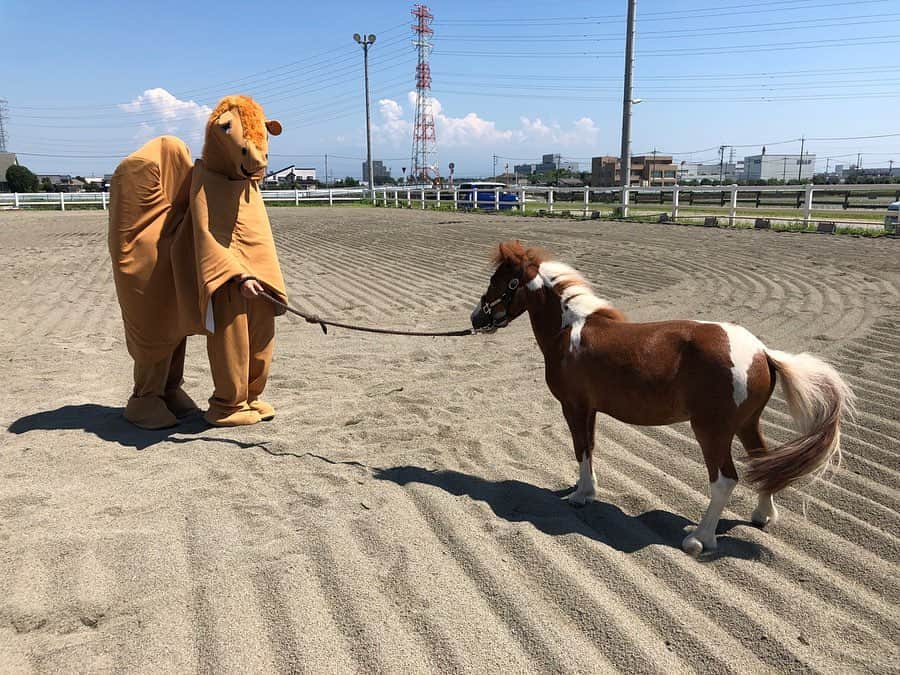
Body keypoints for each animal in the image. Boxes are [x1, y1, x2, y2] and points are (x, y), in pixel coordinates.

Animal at [470, 240, 855, 556]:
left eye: (500, 280)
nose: (476, 318)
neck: (570, 330)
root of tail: (761, 351)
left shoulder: (574, 407)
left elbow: (581, 448)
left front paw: (580, 496)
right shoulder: (590, 409)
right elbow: (590, 447)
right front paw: (586, 489)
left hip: (711, 431)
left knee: (725, 480)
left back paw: (700, 539)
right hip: (746, 424)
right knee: (764, 464)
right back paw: (762, 516)